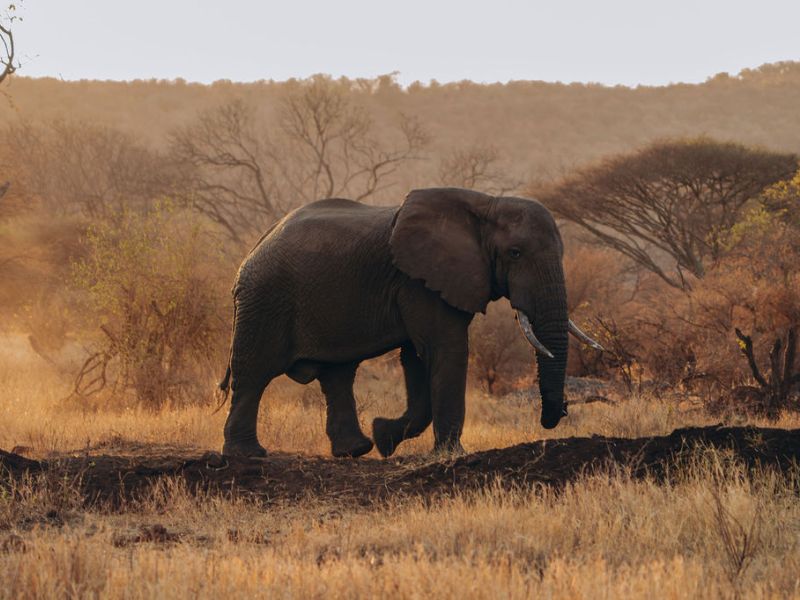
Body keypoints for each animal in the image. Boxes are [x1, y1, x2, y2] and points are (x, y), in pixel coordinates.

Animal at [218, 187, 602, 458]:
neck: (486, 203)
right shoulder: (418, 280)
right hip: (265, 299)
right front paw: (450, 454)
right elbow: (444, 349)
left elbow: (417, 358)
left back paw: (356, 450)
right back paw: (247, 454)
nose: (560, 412)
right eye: (515, 253)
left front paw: (384, 436)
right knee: (254, 373)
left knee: (338, 374)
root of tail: (256, 246)